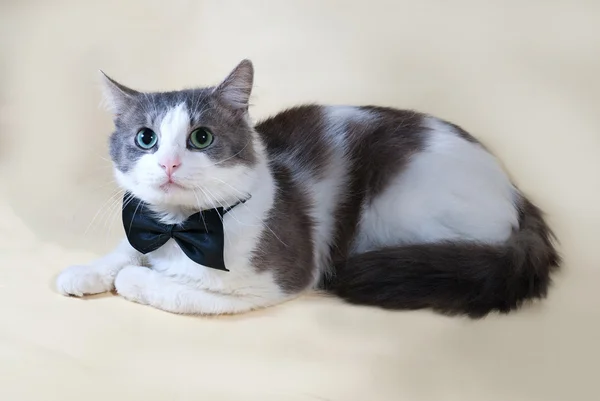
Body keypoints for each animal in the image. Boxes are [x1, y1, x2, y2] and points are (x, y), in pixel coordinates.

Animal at [54, 59, 560, 318]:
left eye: (201, 138)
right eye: (146, 139)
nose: (169, 163)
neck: (182, 228)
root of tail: (516, 191)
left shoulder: (272, 281)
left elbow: (168, 286)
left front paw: (134, 278)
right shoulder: (143, 223)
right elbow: (125, 249)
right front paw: (86, 272)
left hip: (403, 206)